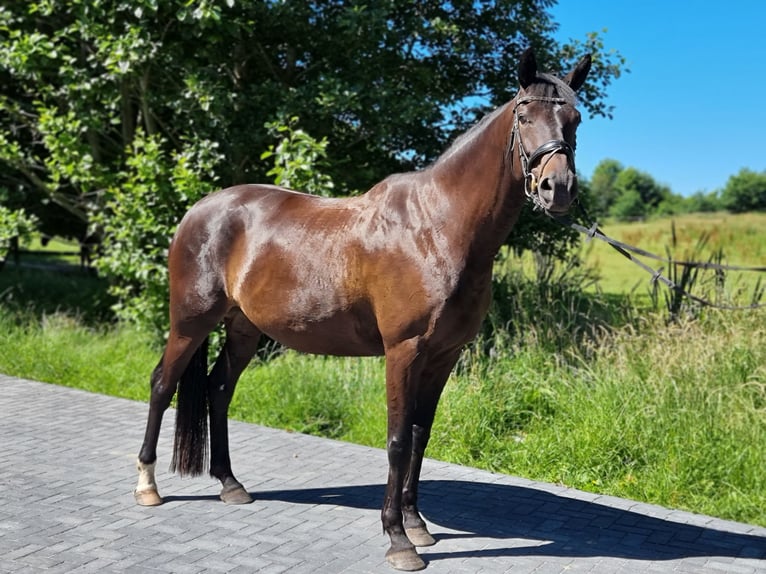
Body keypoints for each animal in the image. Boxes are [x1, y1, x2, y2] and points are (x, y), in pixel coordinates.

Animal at [134, 47, 592, 571]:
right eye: (524, 115)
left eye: (574, 119)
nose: (558, 188)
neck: (438, 228)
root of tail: (200, 210)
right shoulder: (403, 352)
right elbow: (396, 441)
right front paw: (398, 538)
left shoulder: (443, 357)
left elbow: (420, 434)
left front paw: (417, 524)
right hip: (190, 323)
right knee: (162, 384)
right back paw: (147, 485)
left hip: (244, 330)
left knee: (218, 390)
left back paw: (231, 484)